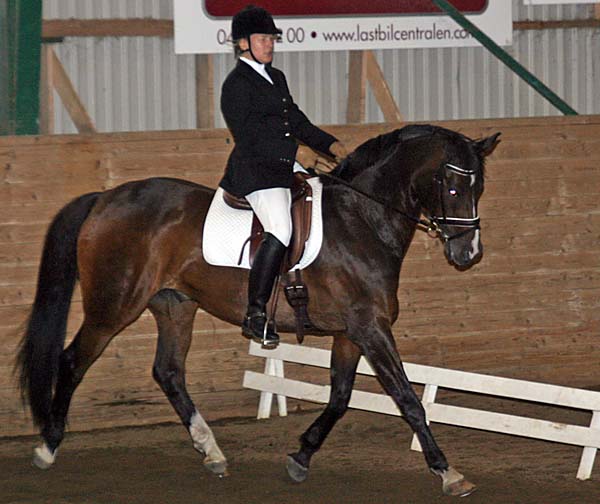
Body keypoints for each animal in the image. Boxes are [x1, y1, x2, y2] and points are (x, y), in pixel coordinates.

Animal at [16, 124, 499, 497]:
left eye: (479, 187)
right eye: (453, 186)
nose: (468, 253)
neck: (361, 219)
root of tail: (104, 198)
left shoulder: (350, 332)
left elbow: (340, 397)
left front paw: (301, 455)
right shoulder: (370, 327)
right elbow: (407, 399)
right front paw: (448, 472)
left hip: (175, 306)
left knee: (168, 372)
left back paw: (212, 452)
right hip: (114, 305)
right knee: (73, 360)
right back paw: (48, 446)